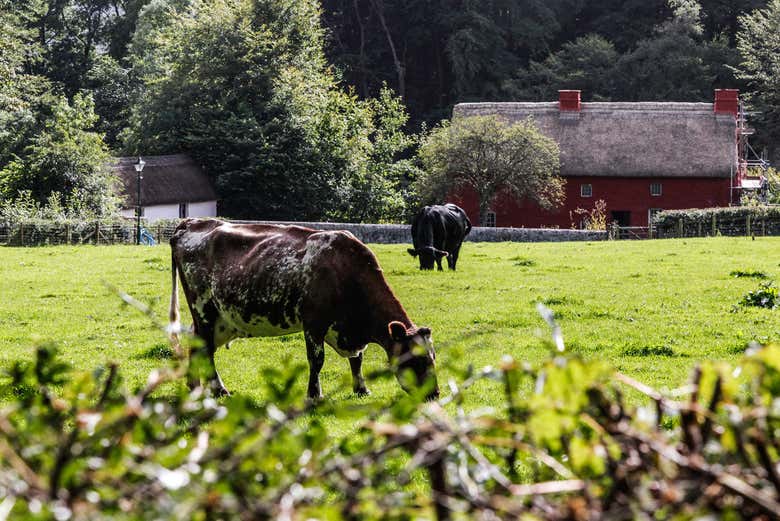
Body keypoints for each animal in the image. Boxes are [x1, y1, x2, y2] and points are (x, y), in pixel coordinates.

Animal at [169, 218, 439, 400]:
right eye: (416, 359)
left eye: (433, 357)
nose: (434, 394)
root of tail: (192, 223)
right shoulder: (313, 323)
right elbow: (316, 360)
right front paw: (314, 394)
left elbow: (357, 359)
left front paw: (361, 388)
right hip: (204, 310)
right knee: (204, 348)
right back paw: (215, 389)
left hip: (219, 319)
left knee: (197, 345)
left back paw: (198, 387)